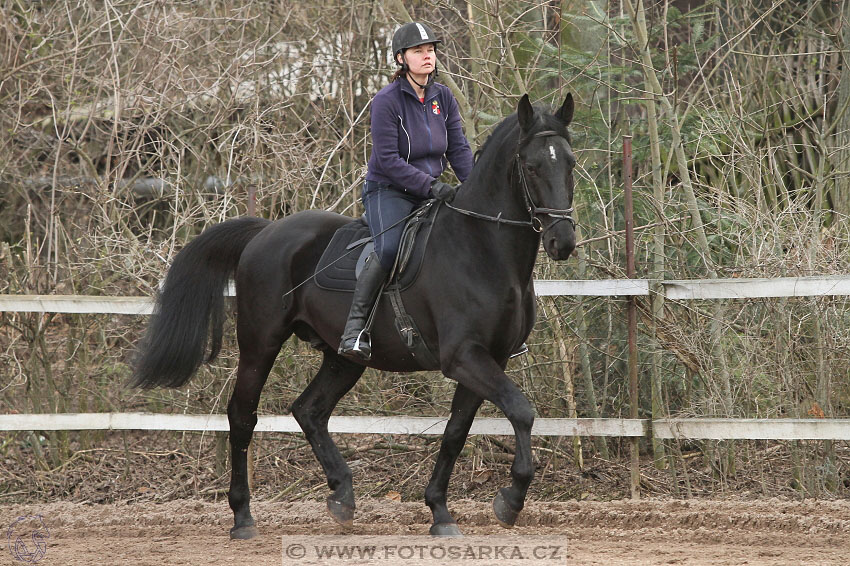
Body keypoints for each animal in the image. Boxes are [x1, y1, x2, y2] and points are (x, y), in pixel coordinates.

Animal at [131, 92, 576, 536]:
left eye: (570, 163)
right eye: (531, 166)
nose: (564, 242)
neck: (481, 248)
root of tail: (264, 232)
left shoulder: (490, 358)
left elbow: (456, 432)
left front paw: (440, 511)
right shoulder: (464, 356)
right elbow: (520, 409)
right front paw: (511, 499)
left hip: (343, 357)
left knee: (309, 410)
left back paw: (342, 495)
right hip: (260, 343)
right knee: (243, 416)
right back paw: (243, 517)